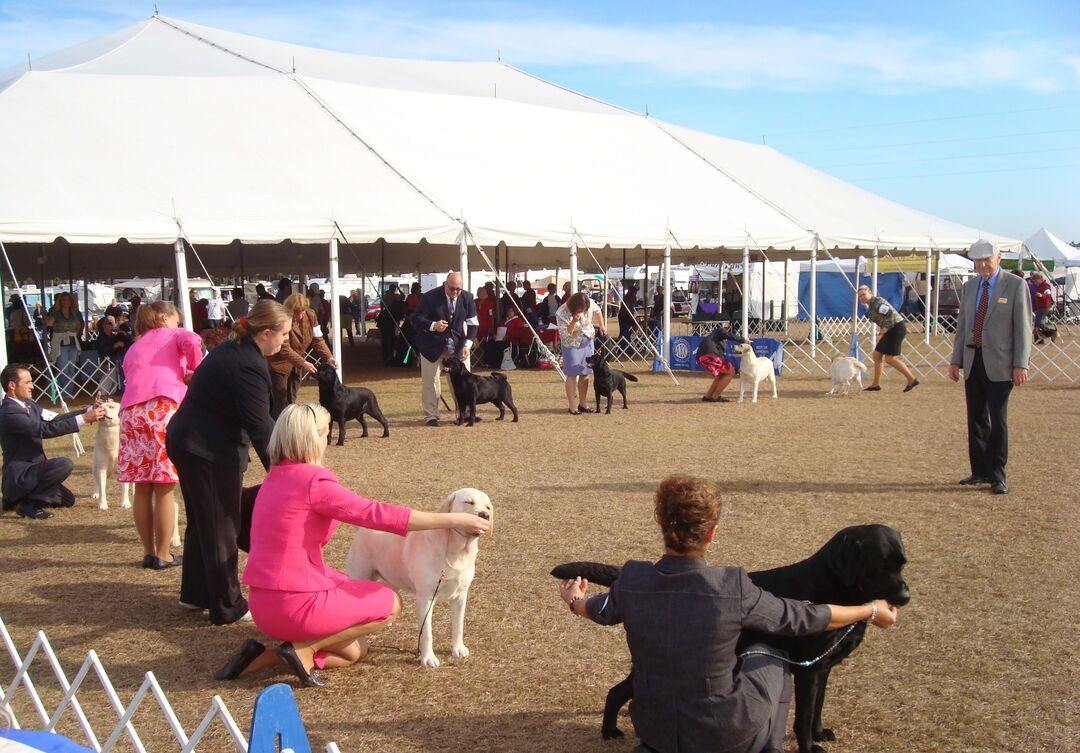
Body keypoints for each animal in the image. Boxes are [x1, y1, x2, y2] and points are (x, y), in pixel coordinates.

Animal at [343, 488, 492, 665]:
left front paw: (458, 648)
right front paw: (428, 659)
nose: (485, 515)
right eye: (469, 502)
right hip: (360, 576)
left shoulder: (460, 597)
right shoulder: (426, 598)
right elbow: (426, 633)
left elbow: (458, 626)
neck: (457, 552)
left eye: (488, 507)